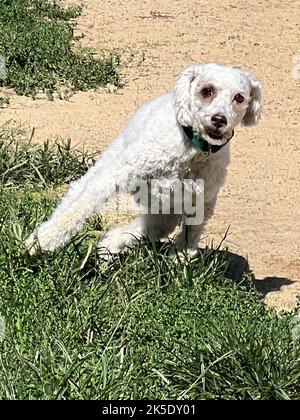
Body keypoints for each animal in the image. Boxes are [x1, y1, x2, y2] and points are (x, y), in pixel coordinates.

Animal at [25, 63, 262, 258]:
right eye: (207, 91)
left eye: (239, 98)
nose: (219, 119)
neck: (191, 150)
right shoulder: (118, 173)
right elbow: (81, 206)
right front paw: (44, 241)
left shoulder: (203, 199)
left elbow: (191, 232)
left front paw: (180, 256)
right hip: (111, 160)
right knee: (78, 193)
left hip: (166, 209)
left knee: (151, 227)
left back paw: (111, 245)